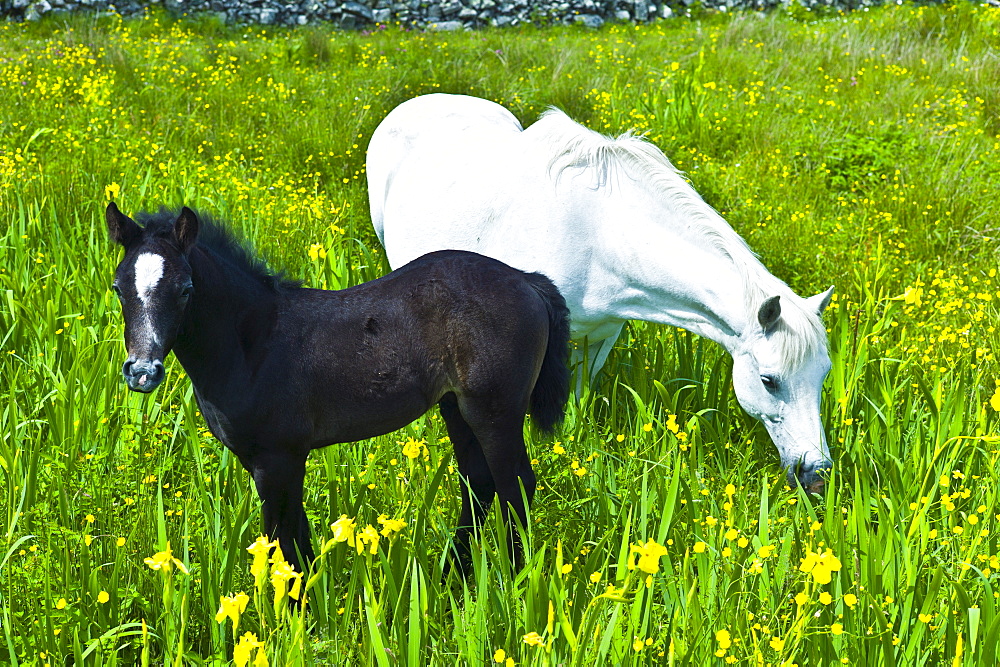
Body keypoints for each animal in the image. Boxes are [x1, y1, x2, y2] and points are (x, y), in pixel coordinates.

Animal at [368, 92, 836, 490]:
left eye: (823, 375)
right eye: (769, 380)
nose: (816, 473)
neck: (597, 233)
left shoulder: (601, 334)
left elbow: (577, 400)